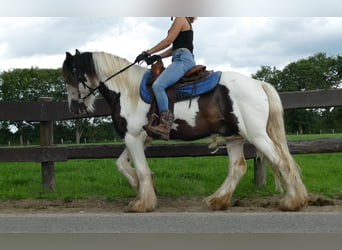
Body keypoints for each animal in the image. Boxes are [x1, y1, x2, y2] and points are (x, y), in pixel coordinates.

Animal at [62, 49, 310, 213]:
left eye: (72, 74)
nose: (74, 108)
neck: (127, 91)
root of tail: (259, 84)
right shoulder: (140, 138)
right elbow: (123, 165)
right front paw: (144, 188)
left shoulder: (133, 137)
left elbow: (140, 169)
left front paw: (142, 202)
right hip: (233, 137)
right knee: (238, 167)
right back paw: (217, 201)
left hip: (256, 135)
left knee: (281, 161)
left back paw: (292, 202)